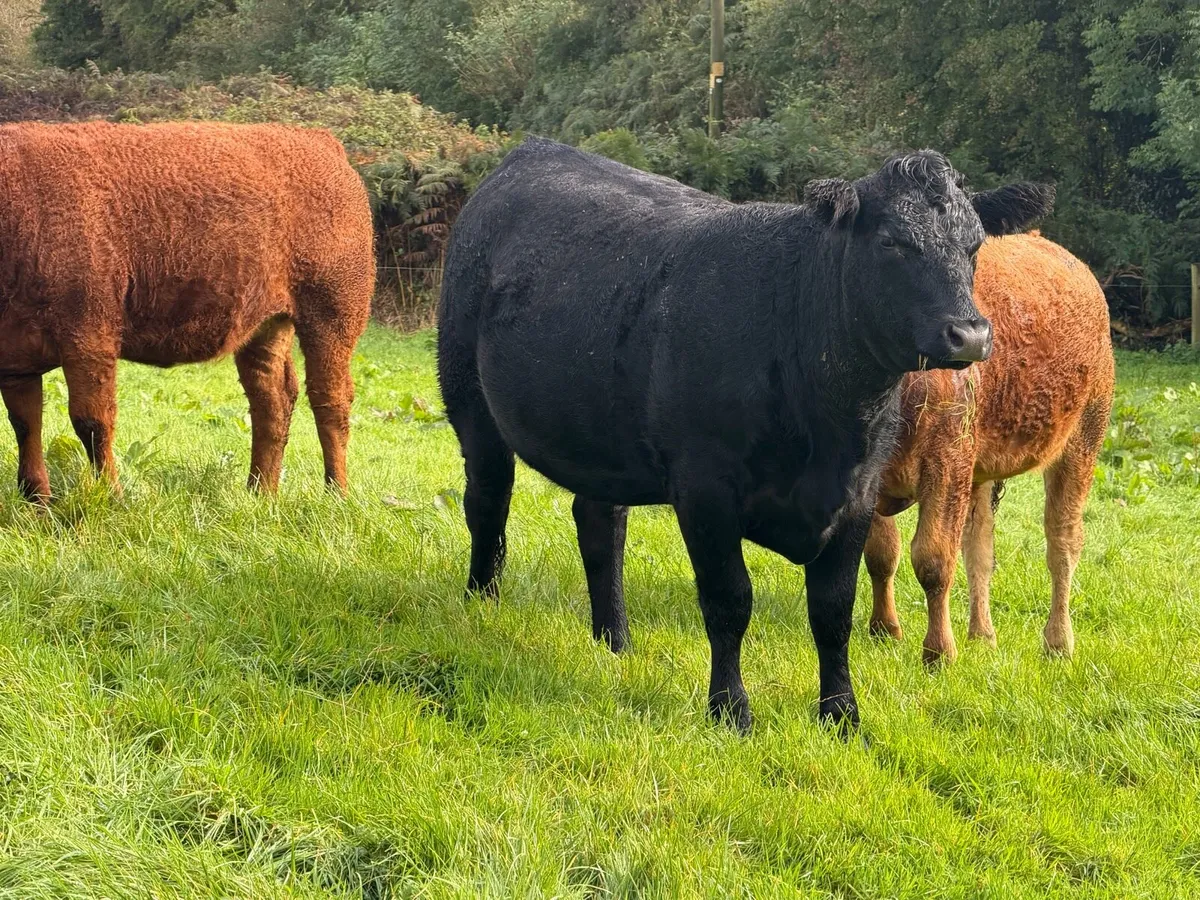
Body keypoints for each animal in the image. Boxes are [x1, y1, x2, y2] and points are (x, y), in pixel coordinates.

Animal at [0, 121, 375, 501]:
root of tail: (318, 140)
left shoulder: (89, 340)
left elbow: (91, 422)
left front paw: (111, 496)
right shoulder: (16, 363)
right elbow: (26, 425)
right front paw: (38, 502)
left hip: (332, 317)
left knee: (330, 400)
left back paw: (336, 493)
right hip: (267, 327)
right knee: (272, 401)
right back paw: (260, 493)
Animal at [437, 137, 1053, 732]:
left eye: (974, 246)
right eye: (892, 243)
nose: (969, 334)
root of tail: (532, 151)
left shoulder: (859, 494)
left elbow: (833, 611)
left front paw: (842, 716)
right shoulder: (705, 490)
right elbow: (729, 601)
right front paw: (730, 710)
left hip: (601, 436)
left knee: (599, 525)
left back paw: (615, 642)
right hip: (470, 401)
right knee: (487, 501)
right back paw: (480, 607)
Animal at [865, 232, 1114, 664]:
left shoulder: (947, 464)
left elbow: (932, 560)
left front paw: (938, 652)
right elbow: (882, 554)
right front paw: (885, 630)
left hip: (1083, 439)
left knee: (1062, 543)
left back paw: (1058, 643)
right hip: (979, 471)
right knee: (980, 548)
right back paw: (982, 635)